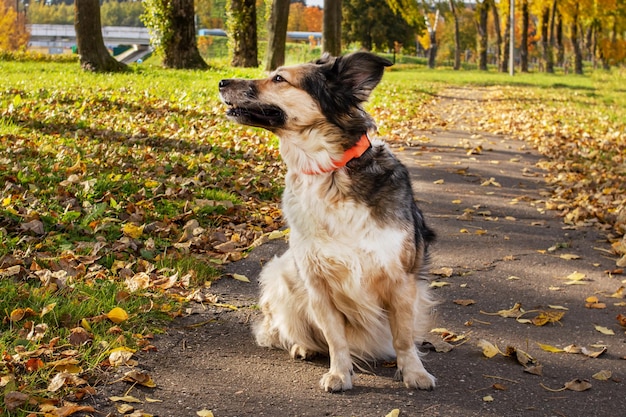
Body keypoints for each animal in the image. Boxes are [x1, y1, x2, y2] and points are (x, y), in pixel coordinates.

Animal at [218, 51, 434, 390]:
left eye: (279, 78)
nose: (221, 82)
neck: (328, 170)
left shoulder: (401, 281)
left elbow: (403, 337)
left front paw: (414, 372)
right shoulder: (318, 283)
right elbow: (335, 338)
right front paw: (339, 373)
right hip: (281, 274)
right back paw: (302, 346)